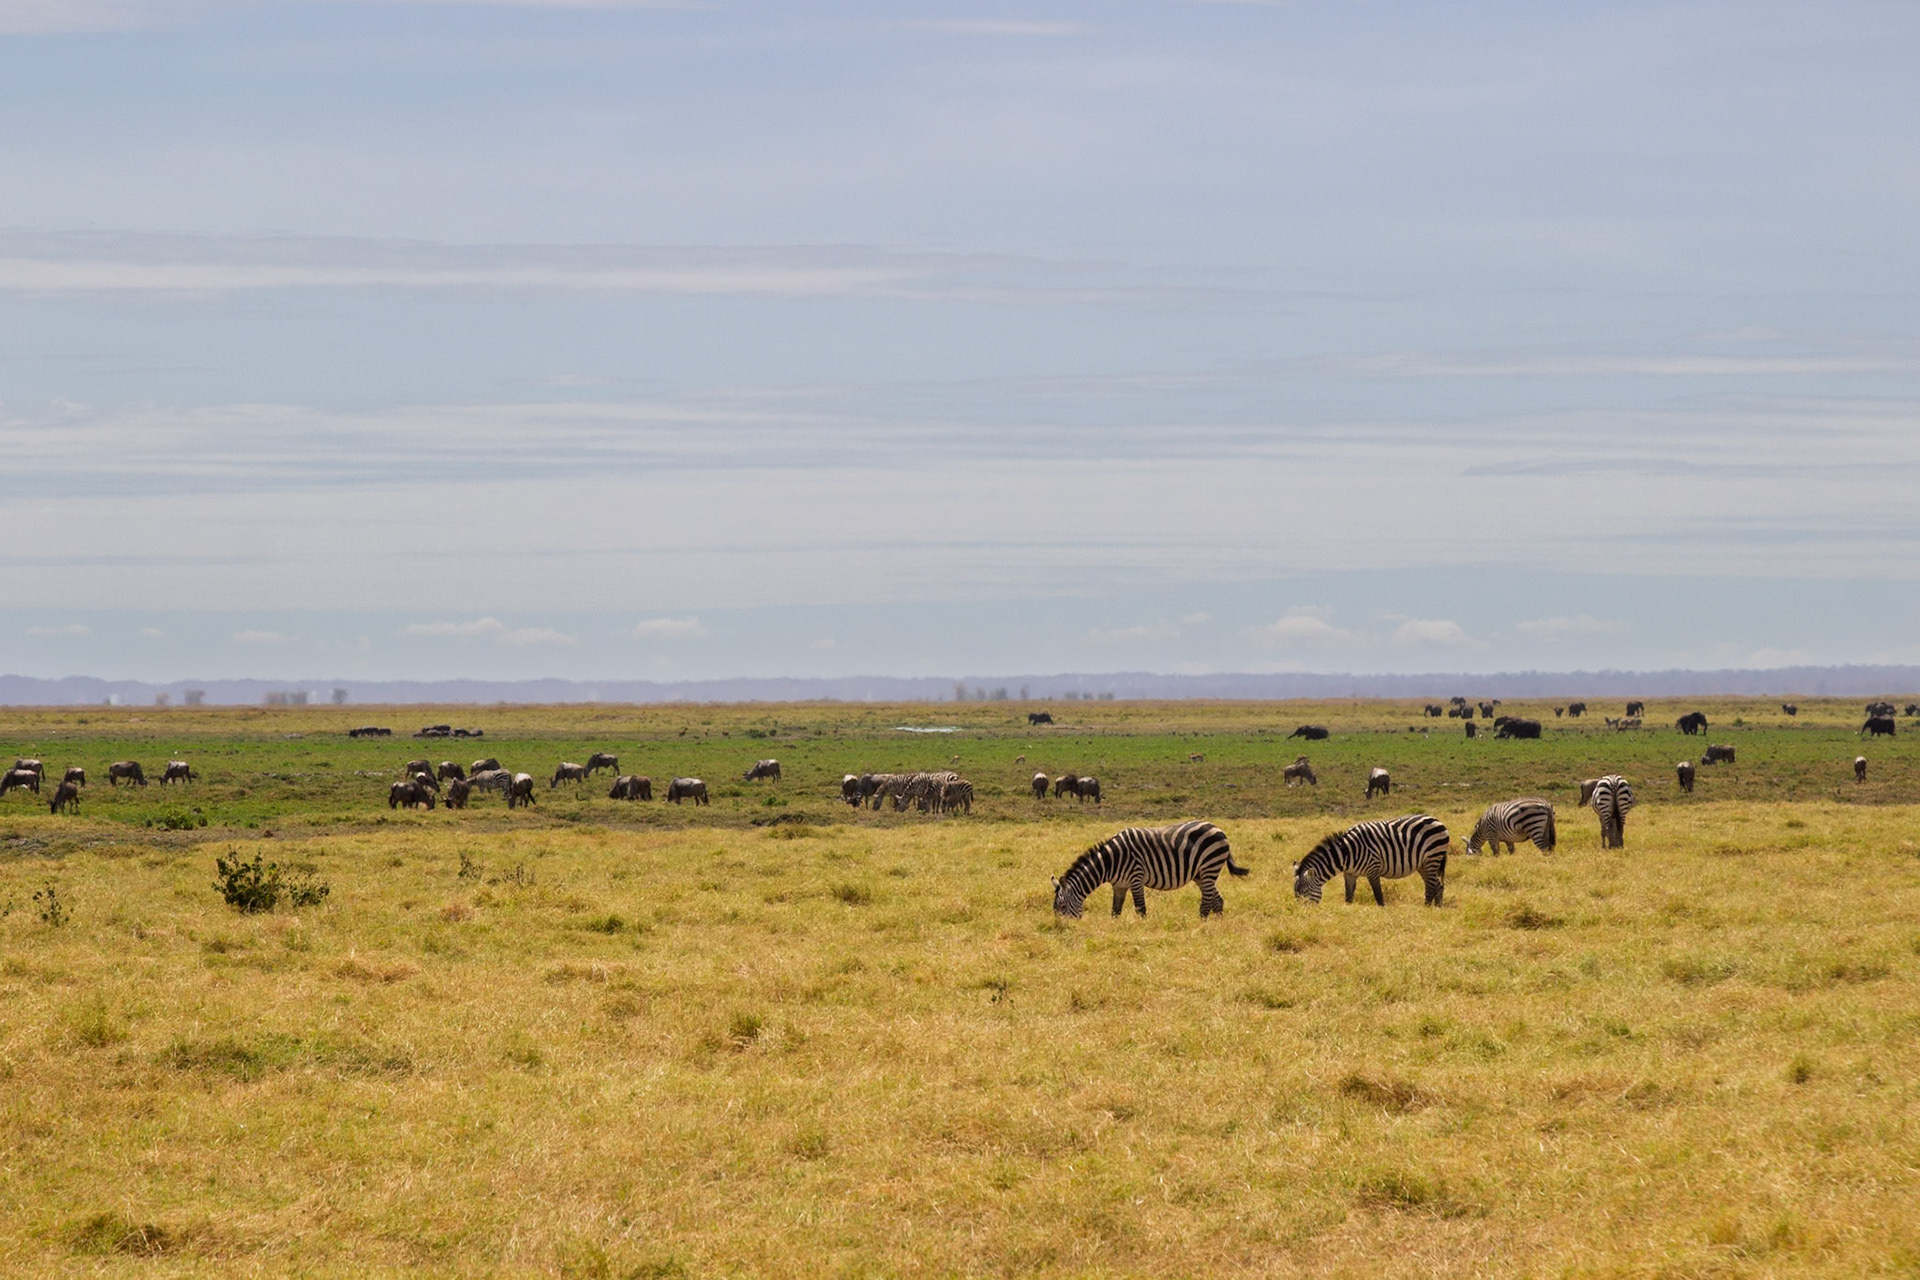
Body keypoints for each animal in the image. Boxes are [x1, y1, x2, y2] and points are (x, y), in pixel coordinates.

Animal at [1052, 820, 1248, 918]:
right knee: (1217, 899)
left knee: (1207, 900)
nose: (1063, 929)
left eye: (1062, 907)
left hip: (1209, 867)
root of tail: (1218, 828)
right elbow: (1115, 911)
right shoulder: (1119, 885)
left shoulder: (1136, 878)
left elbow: (1141, 909)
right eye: (1055, 909)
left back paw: (1202, 921)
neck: (1110, 862)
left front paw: (1142, 930)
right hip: (1201, 873)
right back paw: (1216, 924)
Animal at [1294, 815, 1451, 906]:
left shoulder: (1373, 869)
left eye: (1305, 892)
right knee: (1437, 884)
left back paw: (1426, 907)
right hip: (1423, 864)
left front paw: (1382, 909)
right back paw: (1437, 907)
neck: (1347, 853)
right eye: (1295, 893)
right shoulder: (1349, 873)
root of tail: (1437, 820)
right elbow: (1348, 895)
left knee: (1431, 885)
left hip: (1432, 857)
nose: (1301, 914)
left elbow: (1378, 894)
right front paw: (1348, 910)